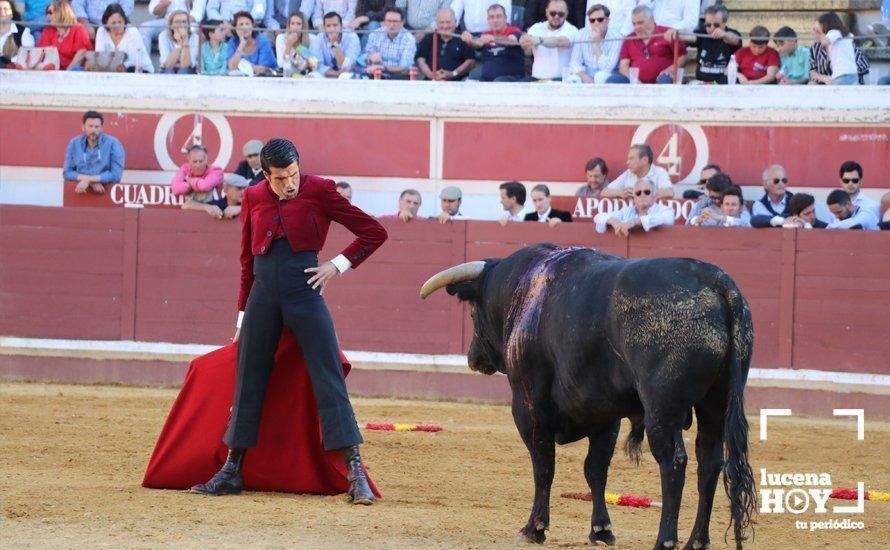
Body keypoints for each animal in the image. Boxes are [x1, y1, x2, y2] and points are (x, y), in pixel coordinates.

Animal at [420, 247, 752, 550]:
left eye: (473, 311)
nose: (473, 358)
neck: (524, 291)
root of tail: (714, 278)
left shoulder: (529, 406)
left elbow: (543, 466)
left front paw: (534, 528)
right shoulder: (606, 415)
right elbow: (595, 469)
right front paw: (601, 530)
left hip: (662, 409)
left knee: (673, 463)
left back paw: (665, 541)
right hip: (716, 403)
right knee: (709, 462)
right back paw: (696, 541)